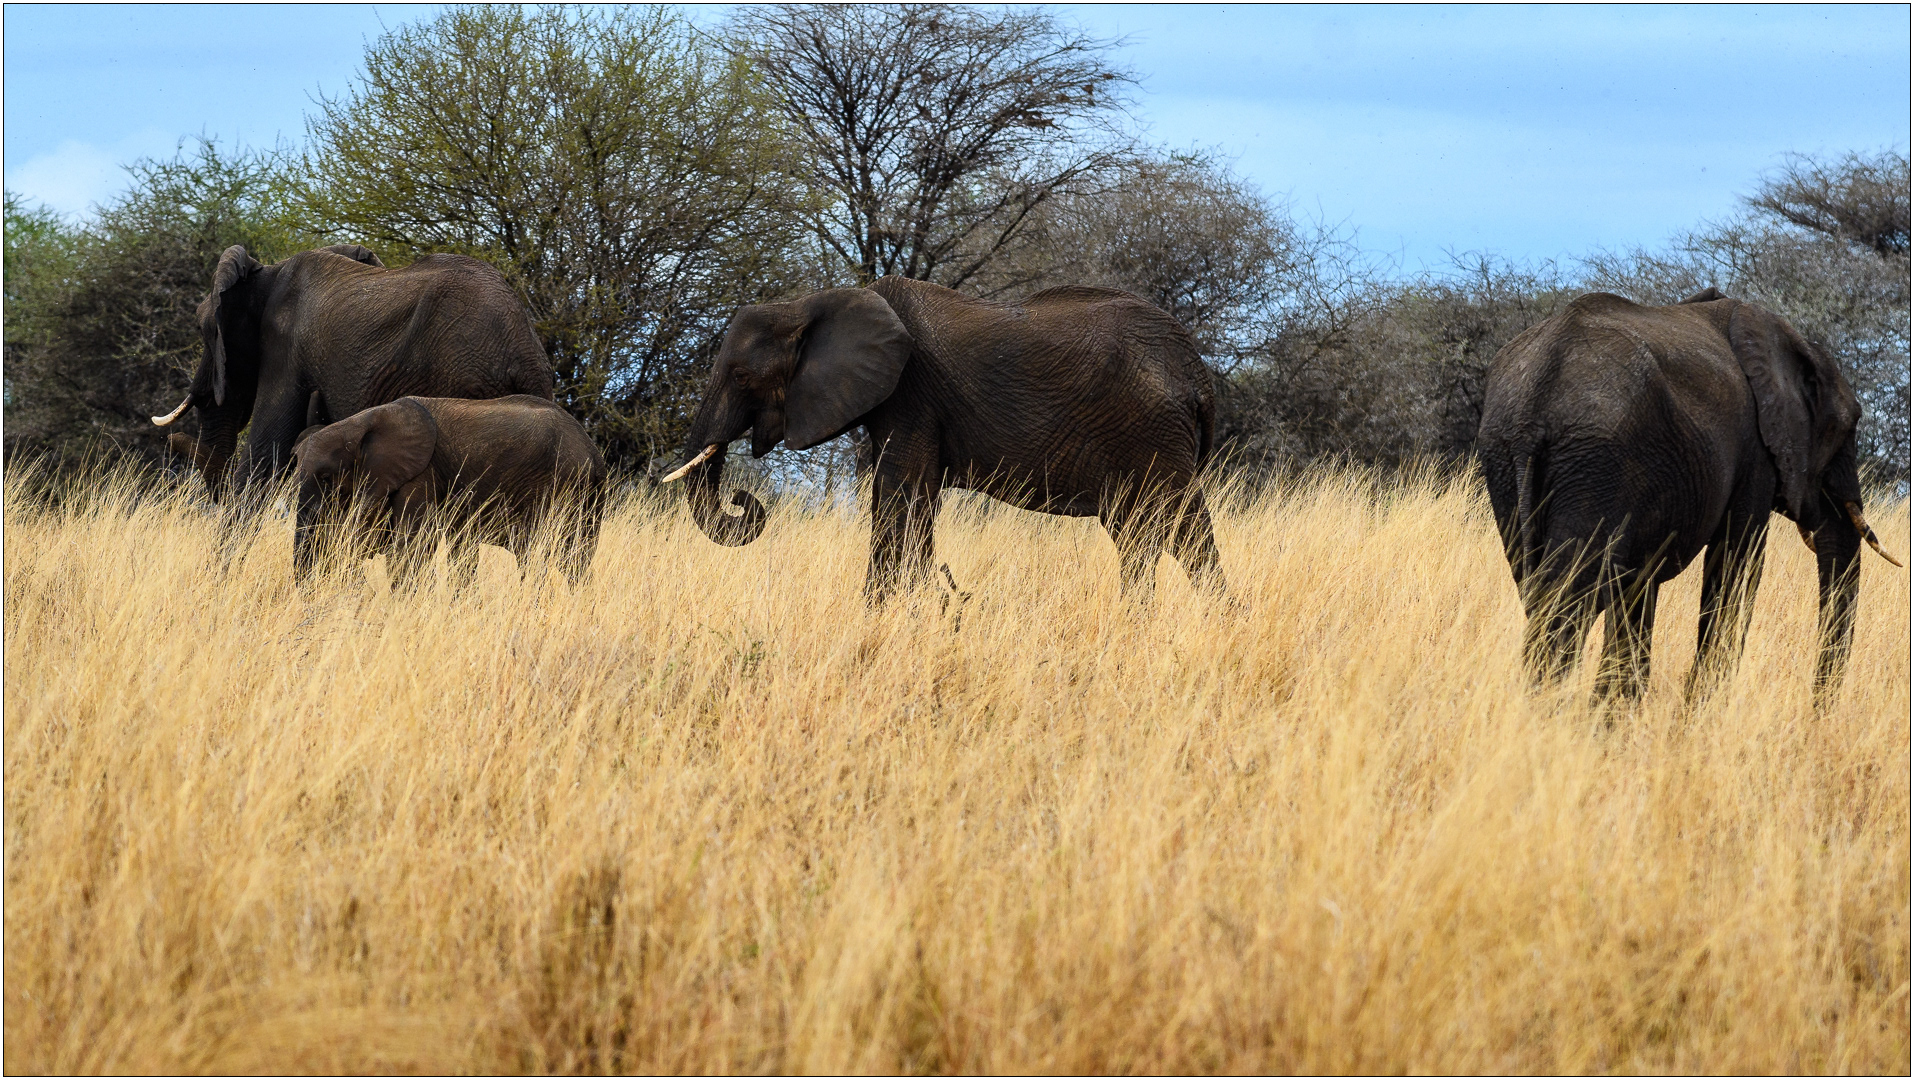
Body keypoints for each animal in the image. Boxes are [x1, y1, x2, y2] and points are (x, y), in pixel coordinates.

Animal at [292, 395, 606, 589]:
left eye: (326, 478)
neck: (361, 423)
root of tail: (593, 452)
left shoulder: (422, 474)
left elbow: (411, 544)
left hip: (562, 485)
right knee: (575, 559)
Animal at [660, 276, 1224, 602]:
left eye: (740, 377)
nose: (743, 499)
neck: (807, 304)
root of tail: (1197, 373)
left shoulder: (911, 395)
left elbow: (899, 496)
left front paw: (880, 614)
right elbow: (913, 501)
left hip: (1151, 433)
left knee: (1179, 530)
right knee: (1147, 536)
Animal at [1476, 287, 1899, 703]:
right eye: (1850, 426)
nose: (1814, 712)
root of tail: (1536, 397)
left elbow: (1639, 586)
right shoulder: (1755, 452)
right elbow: (1737, 561)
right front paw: (1700, 711)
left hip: (1508, 460)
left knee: (1545, 589)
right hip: (1594, 458)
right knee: (1568, 600)